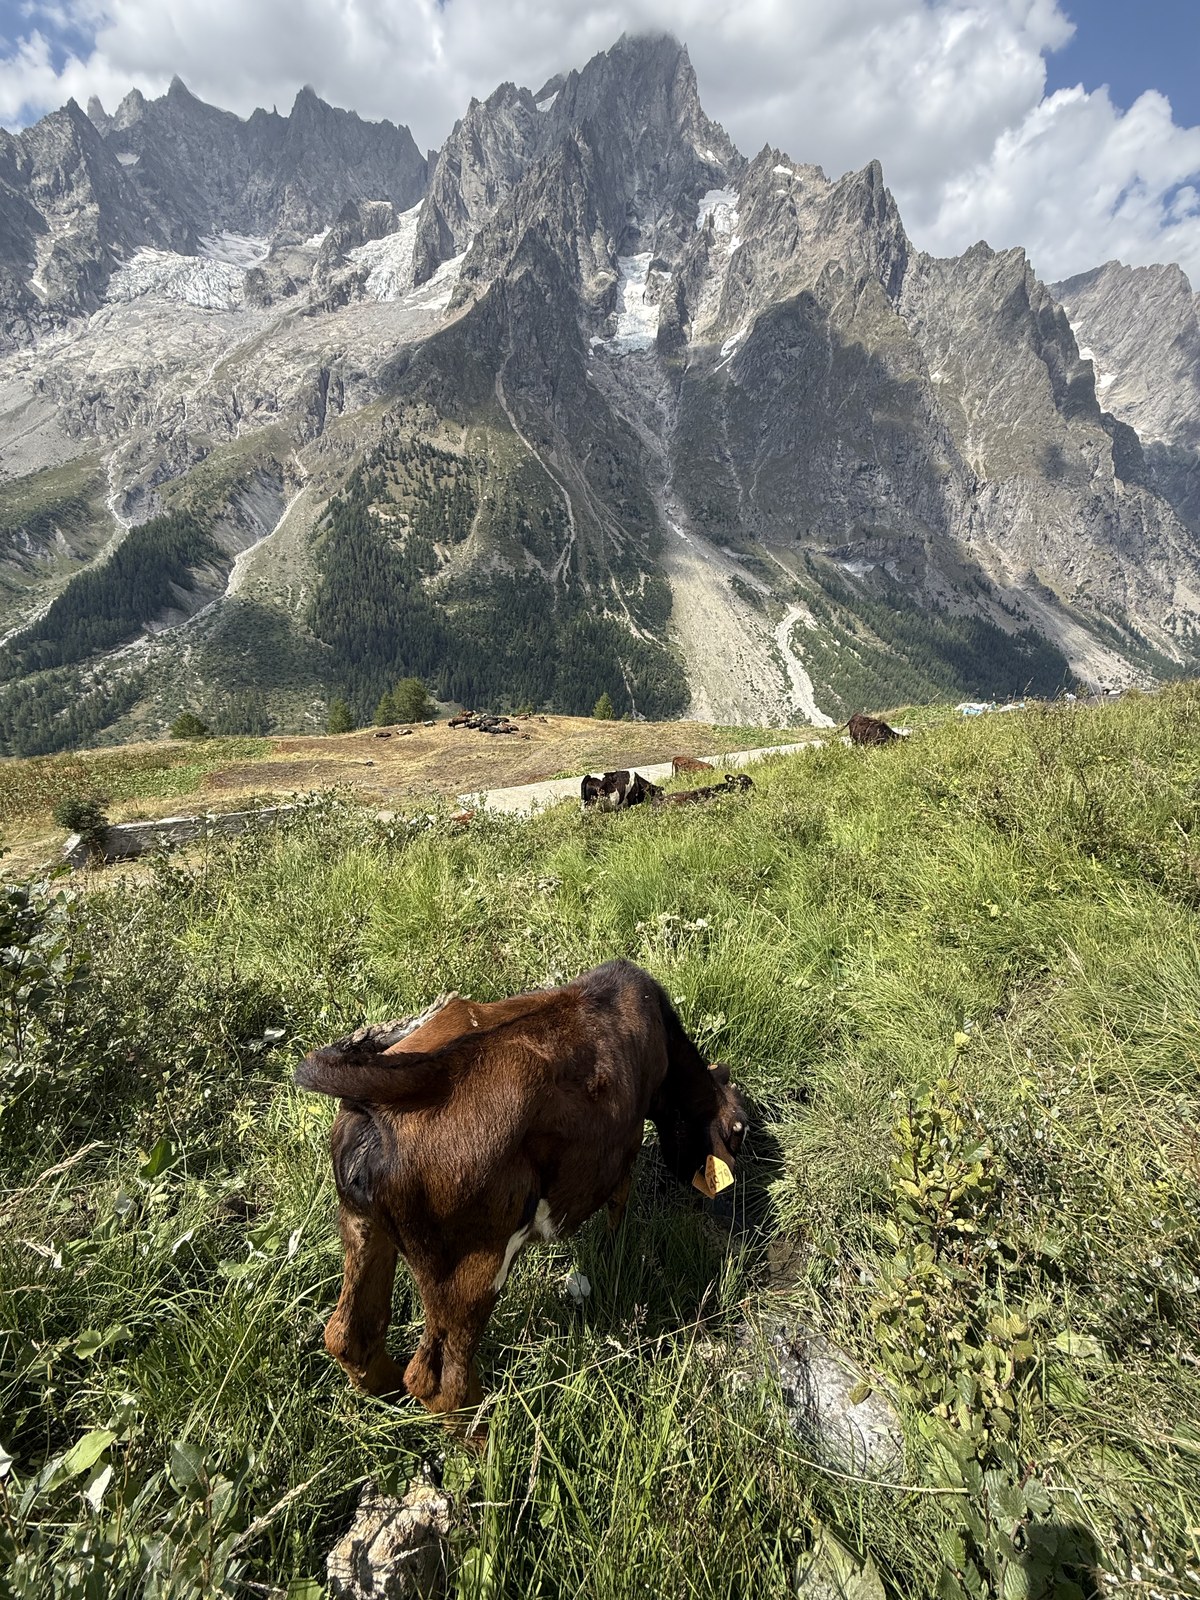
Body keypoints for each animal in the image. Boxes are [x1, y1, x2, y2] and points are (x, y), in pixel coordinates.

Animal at [295, 960, 746, 1432]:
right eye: (742, 1131)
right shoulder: (627, 1142)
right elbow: (619, 1204)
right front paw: (617, 1252)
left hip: (362, 1226)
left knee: (349, 1335)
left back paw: (387, 1396)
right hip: (471, 1267)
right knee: (440, 1383)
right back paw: (487, 1436)